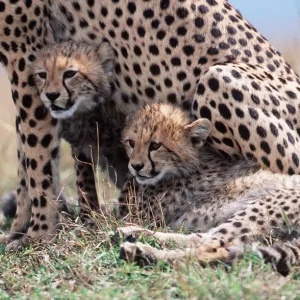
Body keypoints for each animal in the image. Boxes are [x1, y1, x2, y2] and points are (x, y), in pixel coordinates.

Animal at [0, 1, 300, 247]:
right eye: (44, 74)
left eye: (70, 74)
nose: (52, 94)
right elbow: (27, 158)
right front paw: (18, 231)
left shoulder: (25, 52)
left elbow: (36, 157)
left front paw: (39, 234)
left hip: (218, 77)